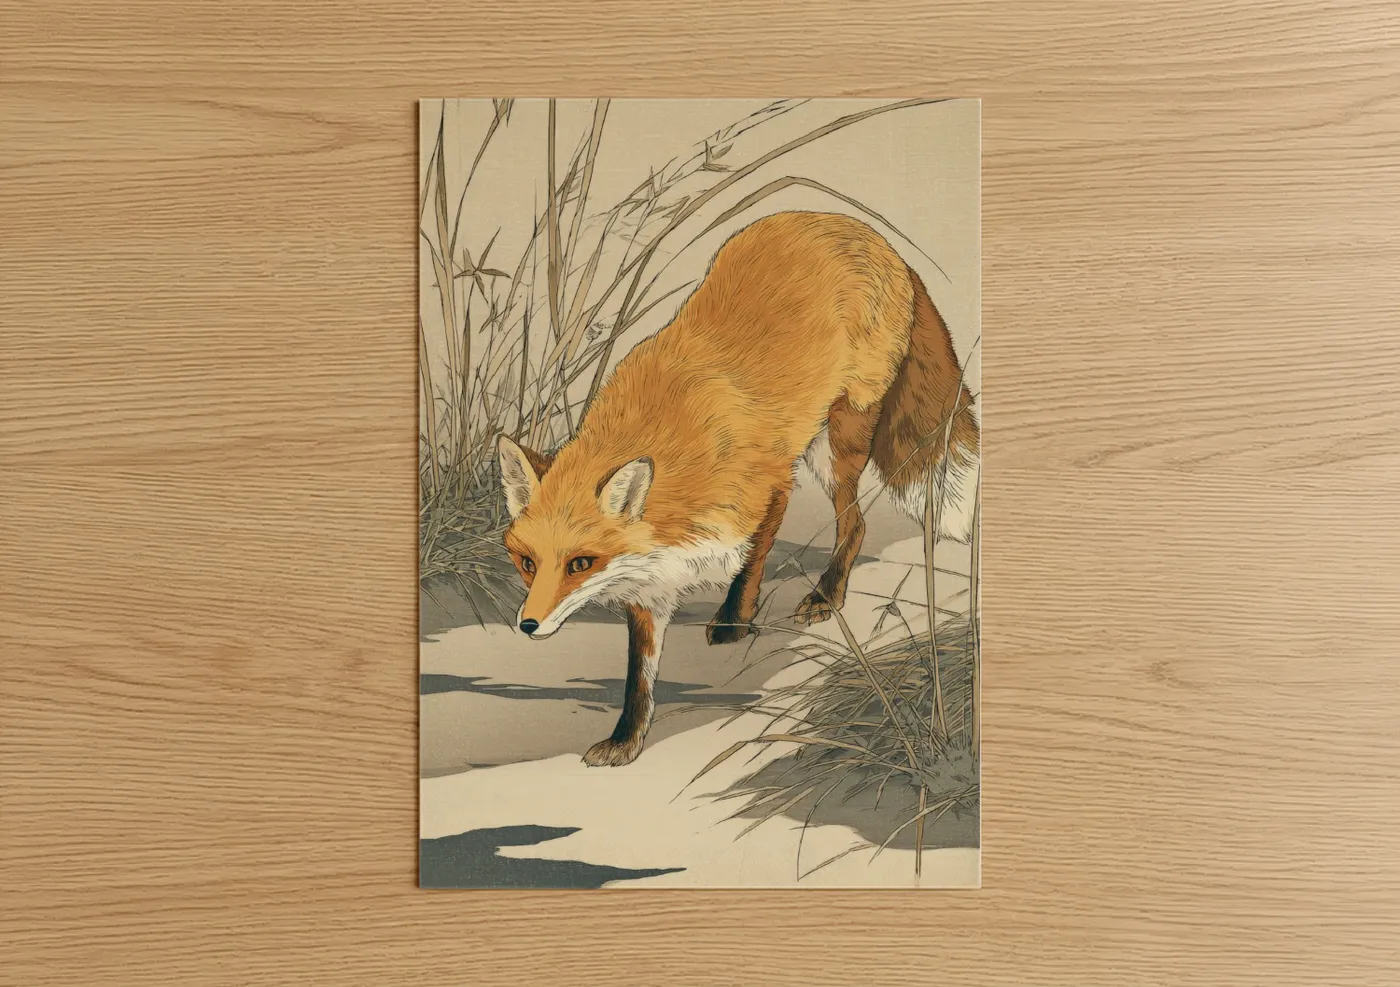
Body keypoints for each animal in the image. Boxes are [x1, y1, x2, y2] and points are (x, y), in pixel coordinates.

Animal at [496, 211, 979, 767]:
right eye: (527, 563)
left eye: (580, 563)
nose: (528, 625)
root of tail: (862, 231)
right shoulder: (649, 579)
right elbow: (640, 675)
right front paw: (627, 739)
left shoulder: (769, 488)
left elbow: (750, 564)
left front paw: (733, 621)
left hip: (835, 443)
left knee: (855, 523)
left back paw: (826, 594)